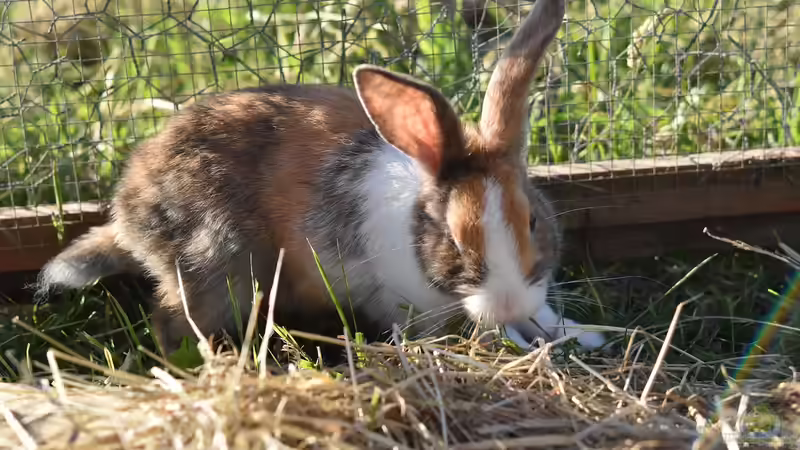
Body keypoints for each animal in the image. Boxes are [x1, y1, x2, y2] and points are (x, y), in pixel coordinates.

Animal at [36, 0, 605, 356]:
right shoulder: (404, 305)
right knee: (172, 321)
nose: (509, 300)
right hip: (216, 268)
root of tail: (126, 211)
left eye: (532, 222)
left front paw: (580, 335)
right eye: (453, 239)